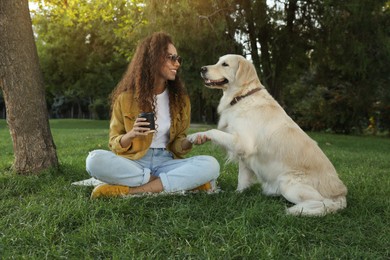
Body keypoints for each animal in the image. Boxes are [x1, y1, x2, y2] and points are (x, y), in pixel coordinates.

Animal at [188, 54, 348, 215]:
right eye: (218, 61)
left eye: (225, 64)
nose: (202, 69)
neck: (242, 96)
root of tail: (341, 196)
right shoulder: (244, 155)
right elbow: (242, 178)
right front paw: (238, 194)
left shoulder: (243, 143)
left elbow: (213, 131)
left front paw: (195, 135)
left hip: (288, 184)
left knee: (322, 203)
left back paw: (293, 210)